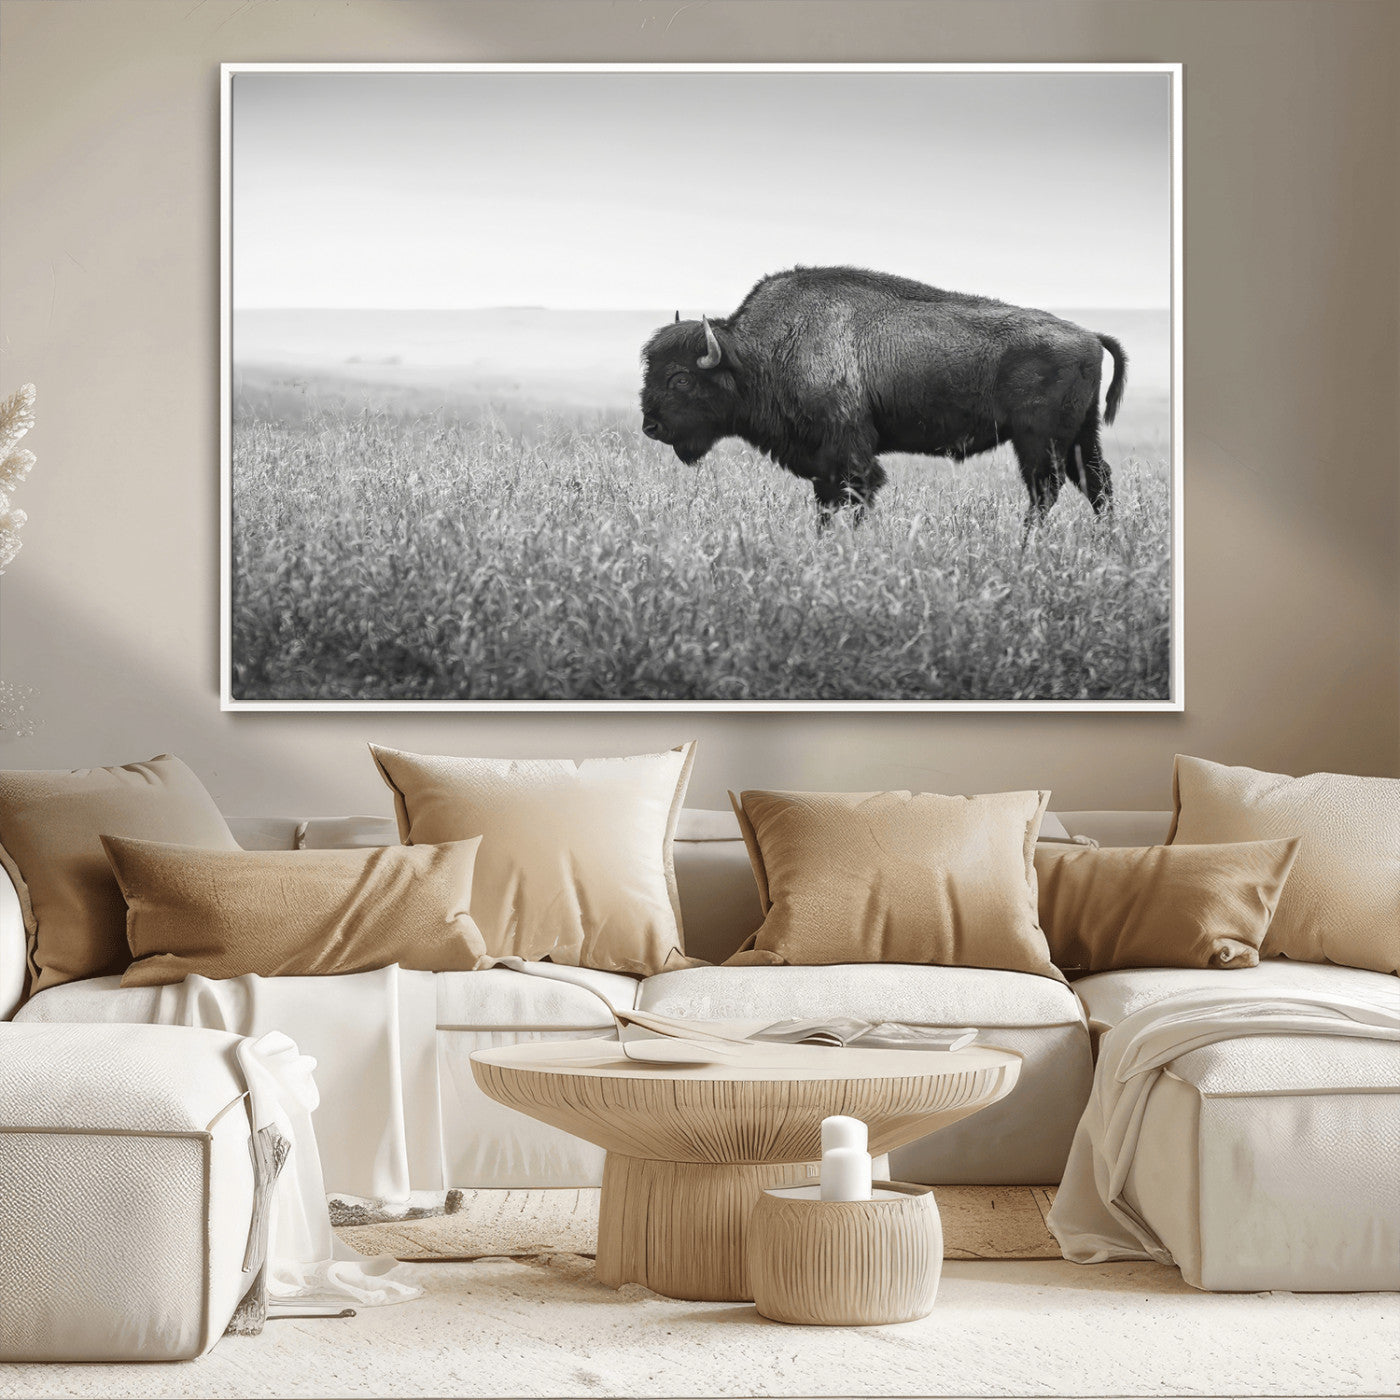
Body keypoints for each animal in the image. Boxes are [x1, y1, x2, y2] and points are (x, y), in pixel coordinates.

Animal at [640, 266, 1126, 529]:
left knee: (1046, 491)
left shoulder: (849, 453)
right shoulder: (822, 462)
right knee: (1097, 484)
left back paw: (1026, 546)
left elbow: (856, 496)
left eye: (680, 379)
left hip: (1038, 441)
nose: (650, 427)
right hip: (1081, 436)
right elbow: (826, 504)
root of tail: (1089, 335)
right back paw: (1105, 543)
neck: (760, 353)